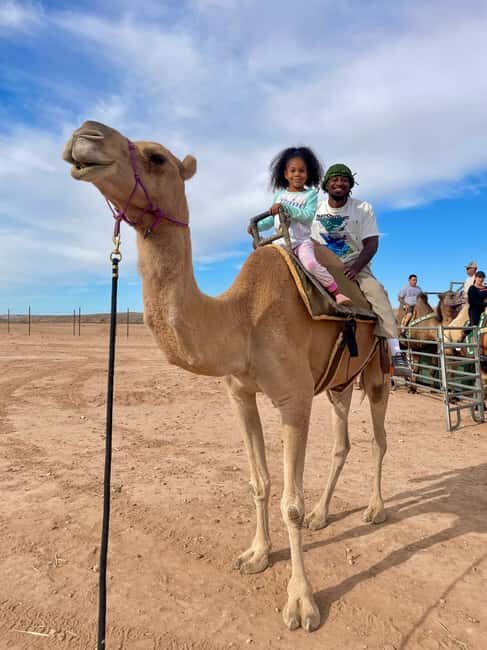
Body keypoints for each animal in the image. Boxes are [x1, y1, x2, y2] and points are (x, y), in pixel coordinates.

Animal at [62, 121, 390, 633]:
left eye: (156, 157)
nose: (85, 134)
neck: (243, 320)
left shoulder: (294, 400)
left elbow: (290, 502)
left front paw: (301, 602)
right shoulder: (241, 395)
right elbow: (260, 483)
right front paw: (256, 555)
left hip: (378, 370)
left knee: (378, 437)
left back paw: (375, 510)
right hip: (338, 383)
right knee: (343, 441)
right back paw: (323, 514)